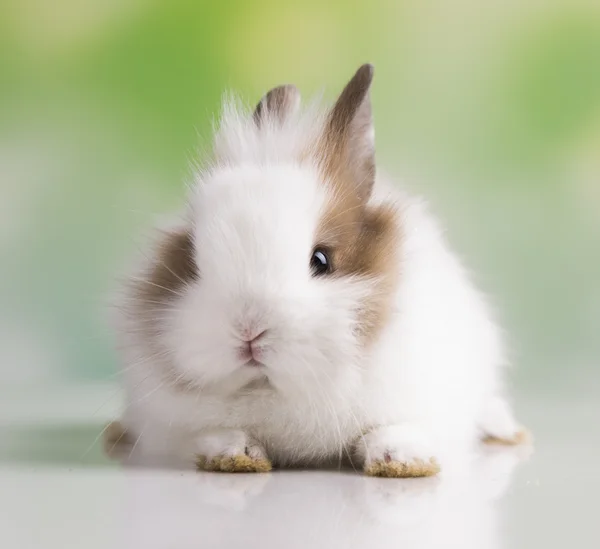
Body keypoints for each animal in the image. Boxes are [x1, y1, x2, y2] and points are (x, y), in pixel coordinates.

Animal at [109, 64, 524, 476]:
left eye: (321, 260)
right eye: (192, 262)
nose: (248, 330)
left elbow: (394, 427)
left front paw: (402, 461)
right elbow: (214, 433)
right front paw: (235, 455)